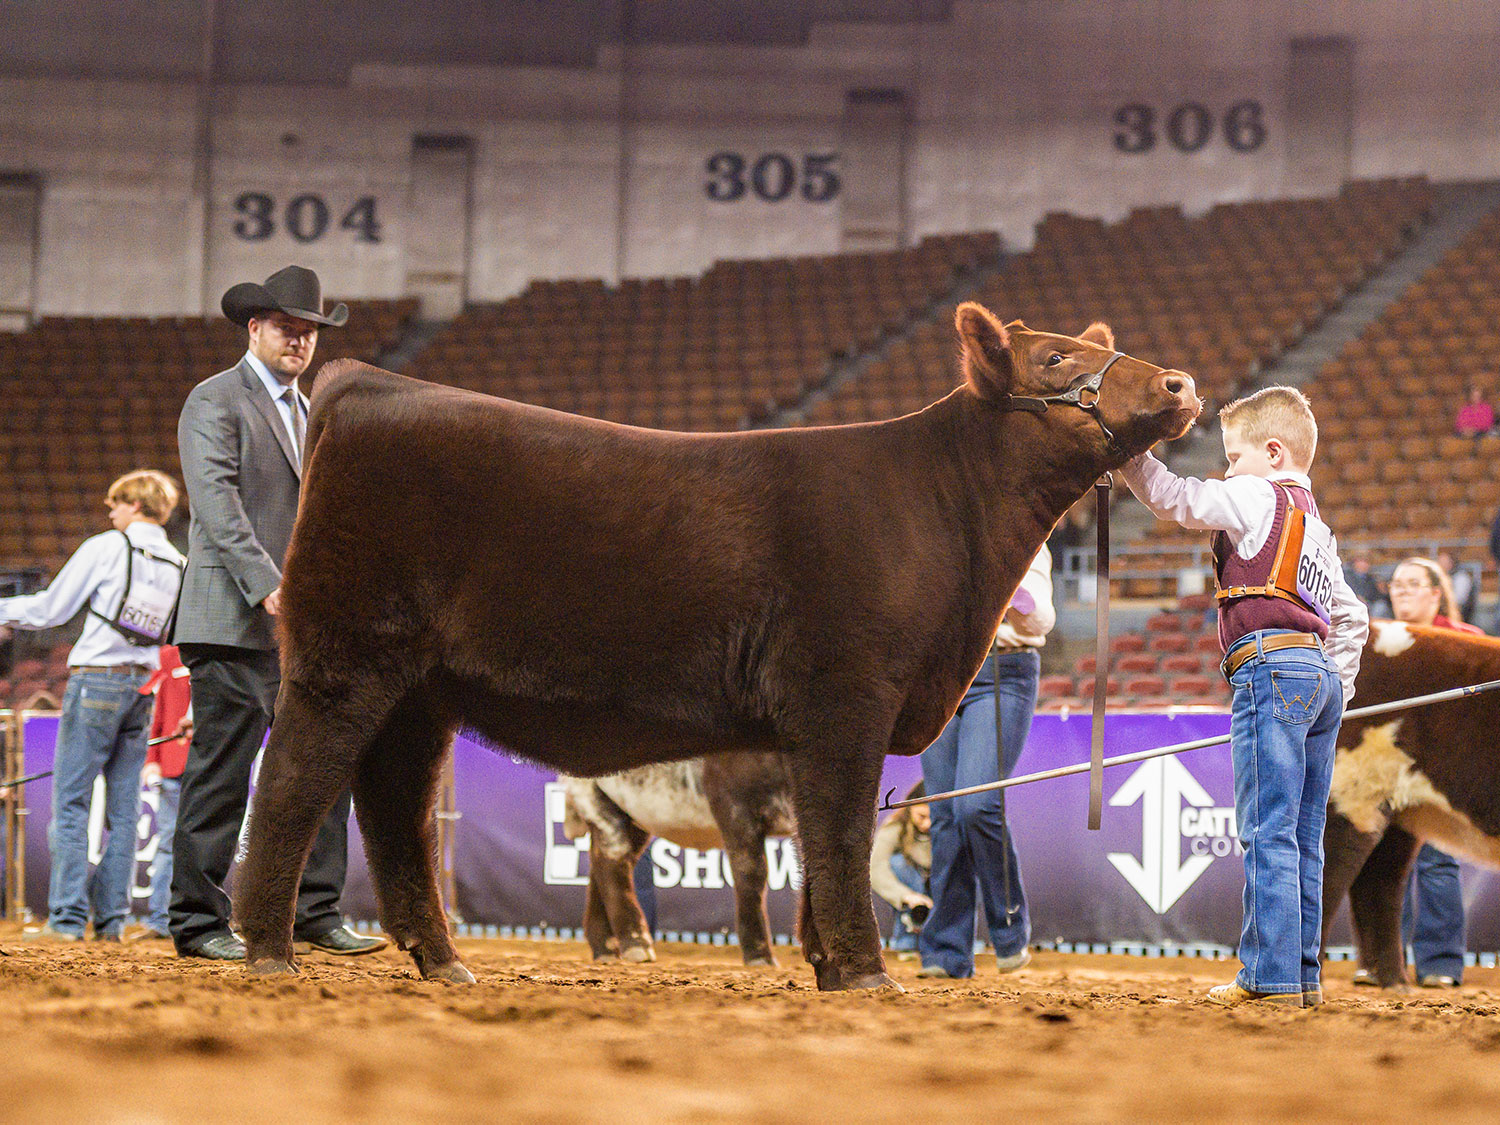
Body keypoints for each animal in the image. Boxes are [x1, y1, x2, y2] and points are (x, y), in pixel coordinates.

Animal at [564, 753, 798, 966]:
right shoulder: (735, 807)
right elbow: (751, 875)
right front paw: (759, 956)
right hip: (595, 802)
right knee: (612, 863)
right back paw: (636, 943)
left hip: (631, 815)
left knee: (604, 864)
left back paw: (606, 948)